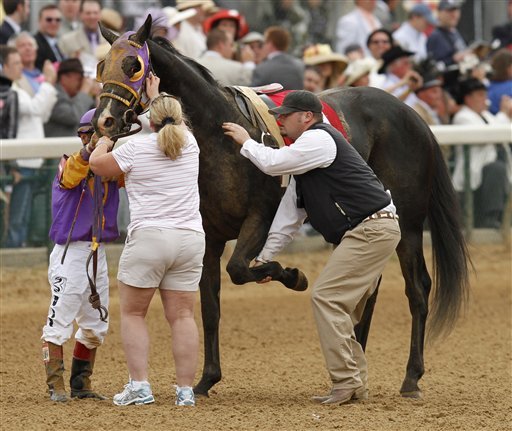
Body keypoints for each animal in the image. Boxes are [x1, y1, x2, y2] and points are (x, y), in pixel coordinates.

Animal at [94, 18, 470, 400]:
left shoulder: (260, 218)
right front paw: (206, 379)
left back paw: (411, 377)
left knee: (417, 289)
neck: (219, 136)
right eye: (102, 66)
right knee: (367, 291)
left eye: (133, 65)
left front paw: (291, 275)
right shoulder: (210, 236)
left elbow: (239, 269)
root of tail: (413, 116)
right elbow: (211, 306)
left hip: (407, 223)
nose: (105, 121)